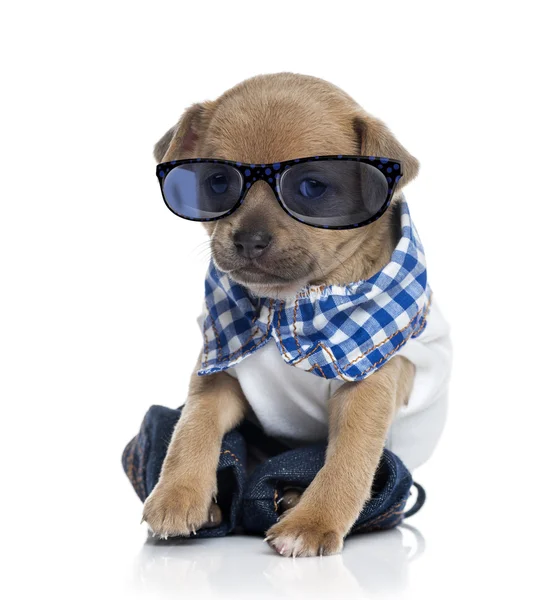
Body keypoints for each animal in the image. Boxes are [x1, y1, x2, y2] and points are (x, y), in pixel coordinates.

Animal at [144, 74, 450, 556]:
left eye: (311, 189)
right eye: (218, 182)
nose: (248, 239)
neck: (287, 305)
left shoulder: (367, 387)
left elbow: (349, 458)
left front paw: (314, 521)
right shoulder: (219, 371)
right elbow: (190, 428)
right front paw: (176, 495)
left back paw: (289, 498)